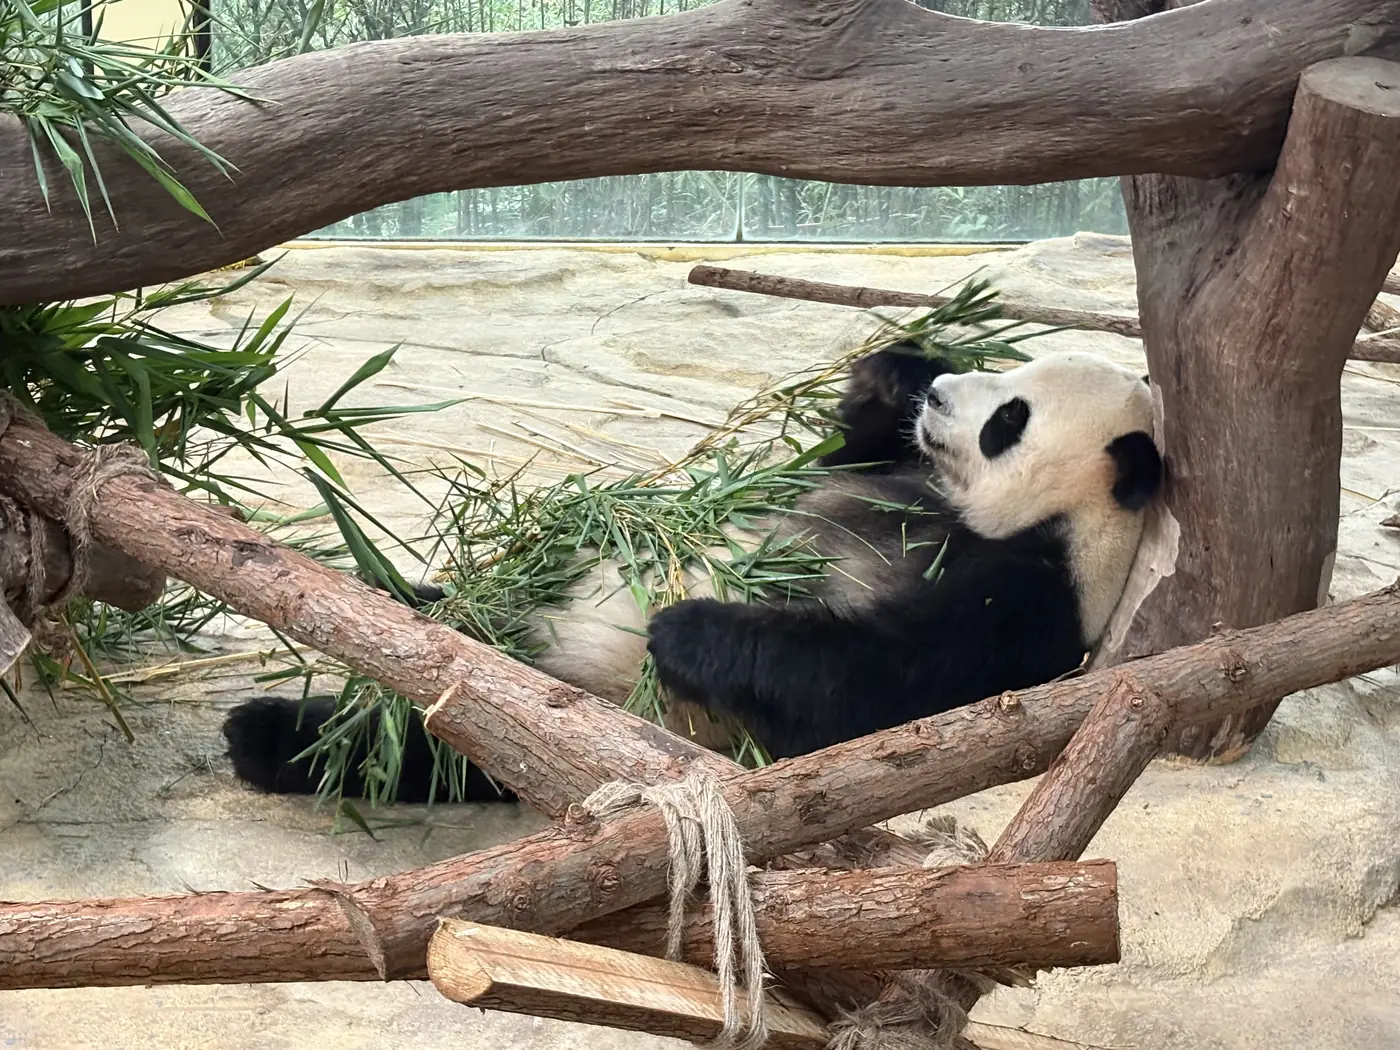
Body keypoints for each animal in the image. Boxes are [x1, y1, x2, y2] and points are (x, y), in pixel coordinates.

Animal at [221, 342, 1162, 803]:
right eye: (1004, 375)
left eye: (1010, 417)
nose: (939, 398)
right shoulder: (882, 474)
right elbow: (819, 458)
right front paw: (895, 373)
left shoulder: (1031, 600)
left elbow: (875, 684)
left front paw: (685, 628)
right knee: (467, 614)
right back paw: (388, 597)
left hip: (591, 725)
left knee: (447, 745)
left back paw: (268, 735)